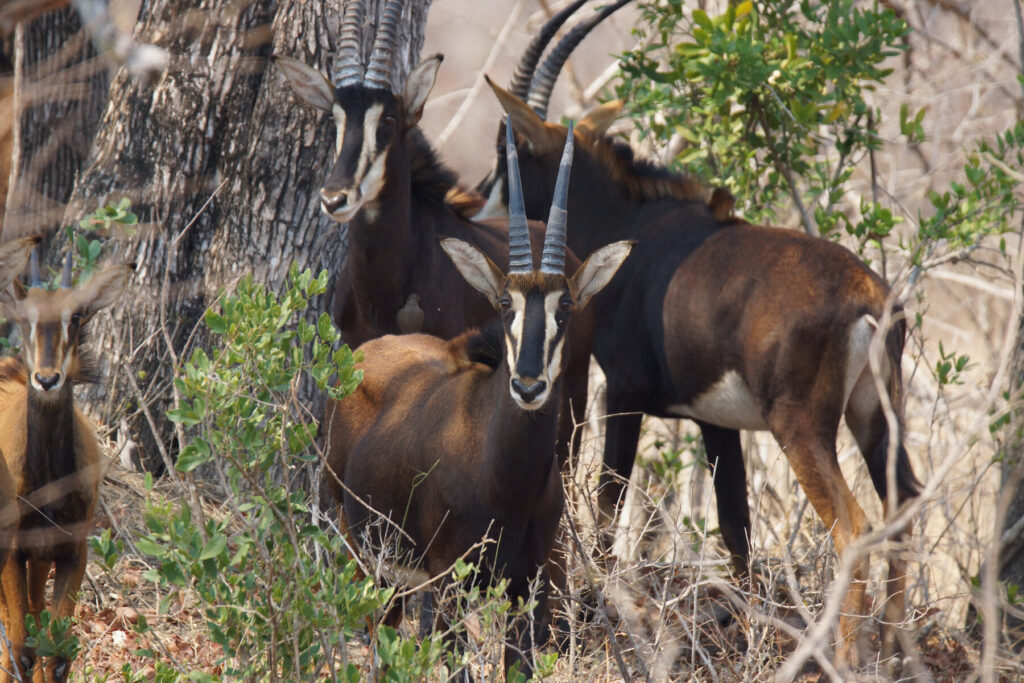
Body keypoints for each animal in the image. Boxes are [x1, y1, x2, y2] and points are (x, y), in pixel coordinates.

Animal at [0, 250, 132, 683]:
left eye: (76, 316)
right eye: (24, 317)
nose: (47, 379)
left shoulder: (73, 551)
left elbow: (54, 654)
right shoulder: (13, 552)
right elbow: (20, 649)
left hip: (42, 561)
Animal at [325, 122, 630, 679]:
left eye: (566, 306)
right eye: (505, 302)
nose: (528, 387)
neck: (505, 479)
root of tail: (367, 354)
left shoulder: (530, 586)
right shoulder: (448, 581)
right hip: (359, 545)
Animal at [483, 77, 925, 663]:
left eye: (506, 149)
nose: (476, 202)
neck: (634, 226)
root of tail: (870, 300)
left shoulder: (622, 394)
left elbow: (608, 502)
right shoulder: (716, 421)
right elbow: (736, 525)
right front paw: (748, 631)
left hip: (801, 427)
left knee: (854, 527)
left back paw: (849, 659)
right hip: (875, 419)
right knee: (904, 503)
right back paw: (899, 651)